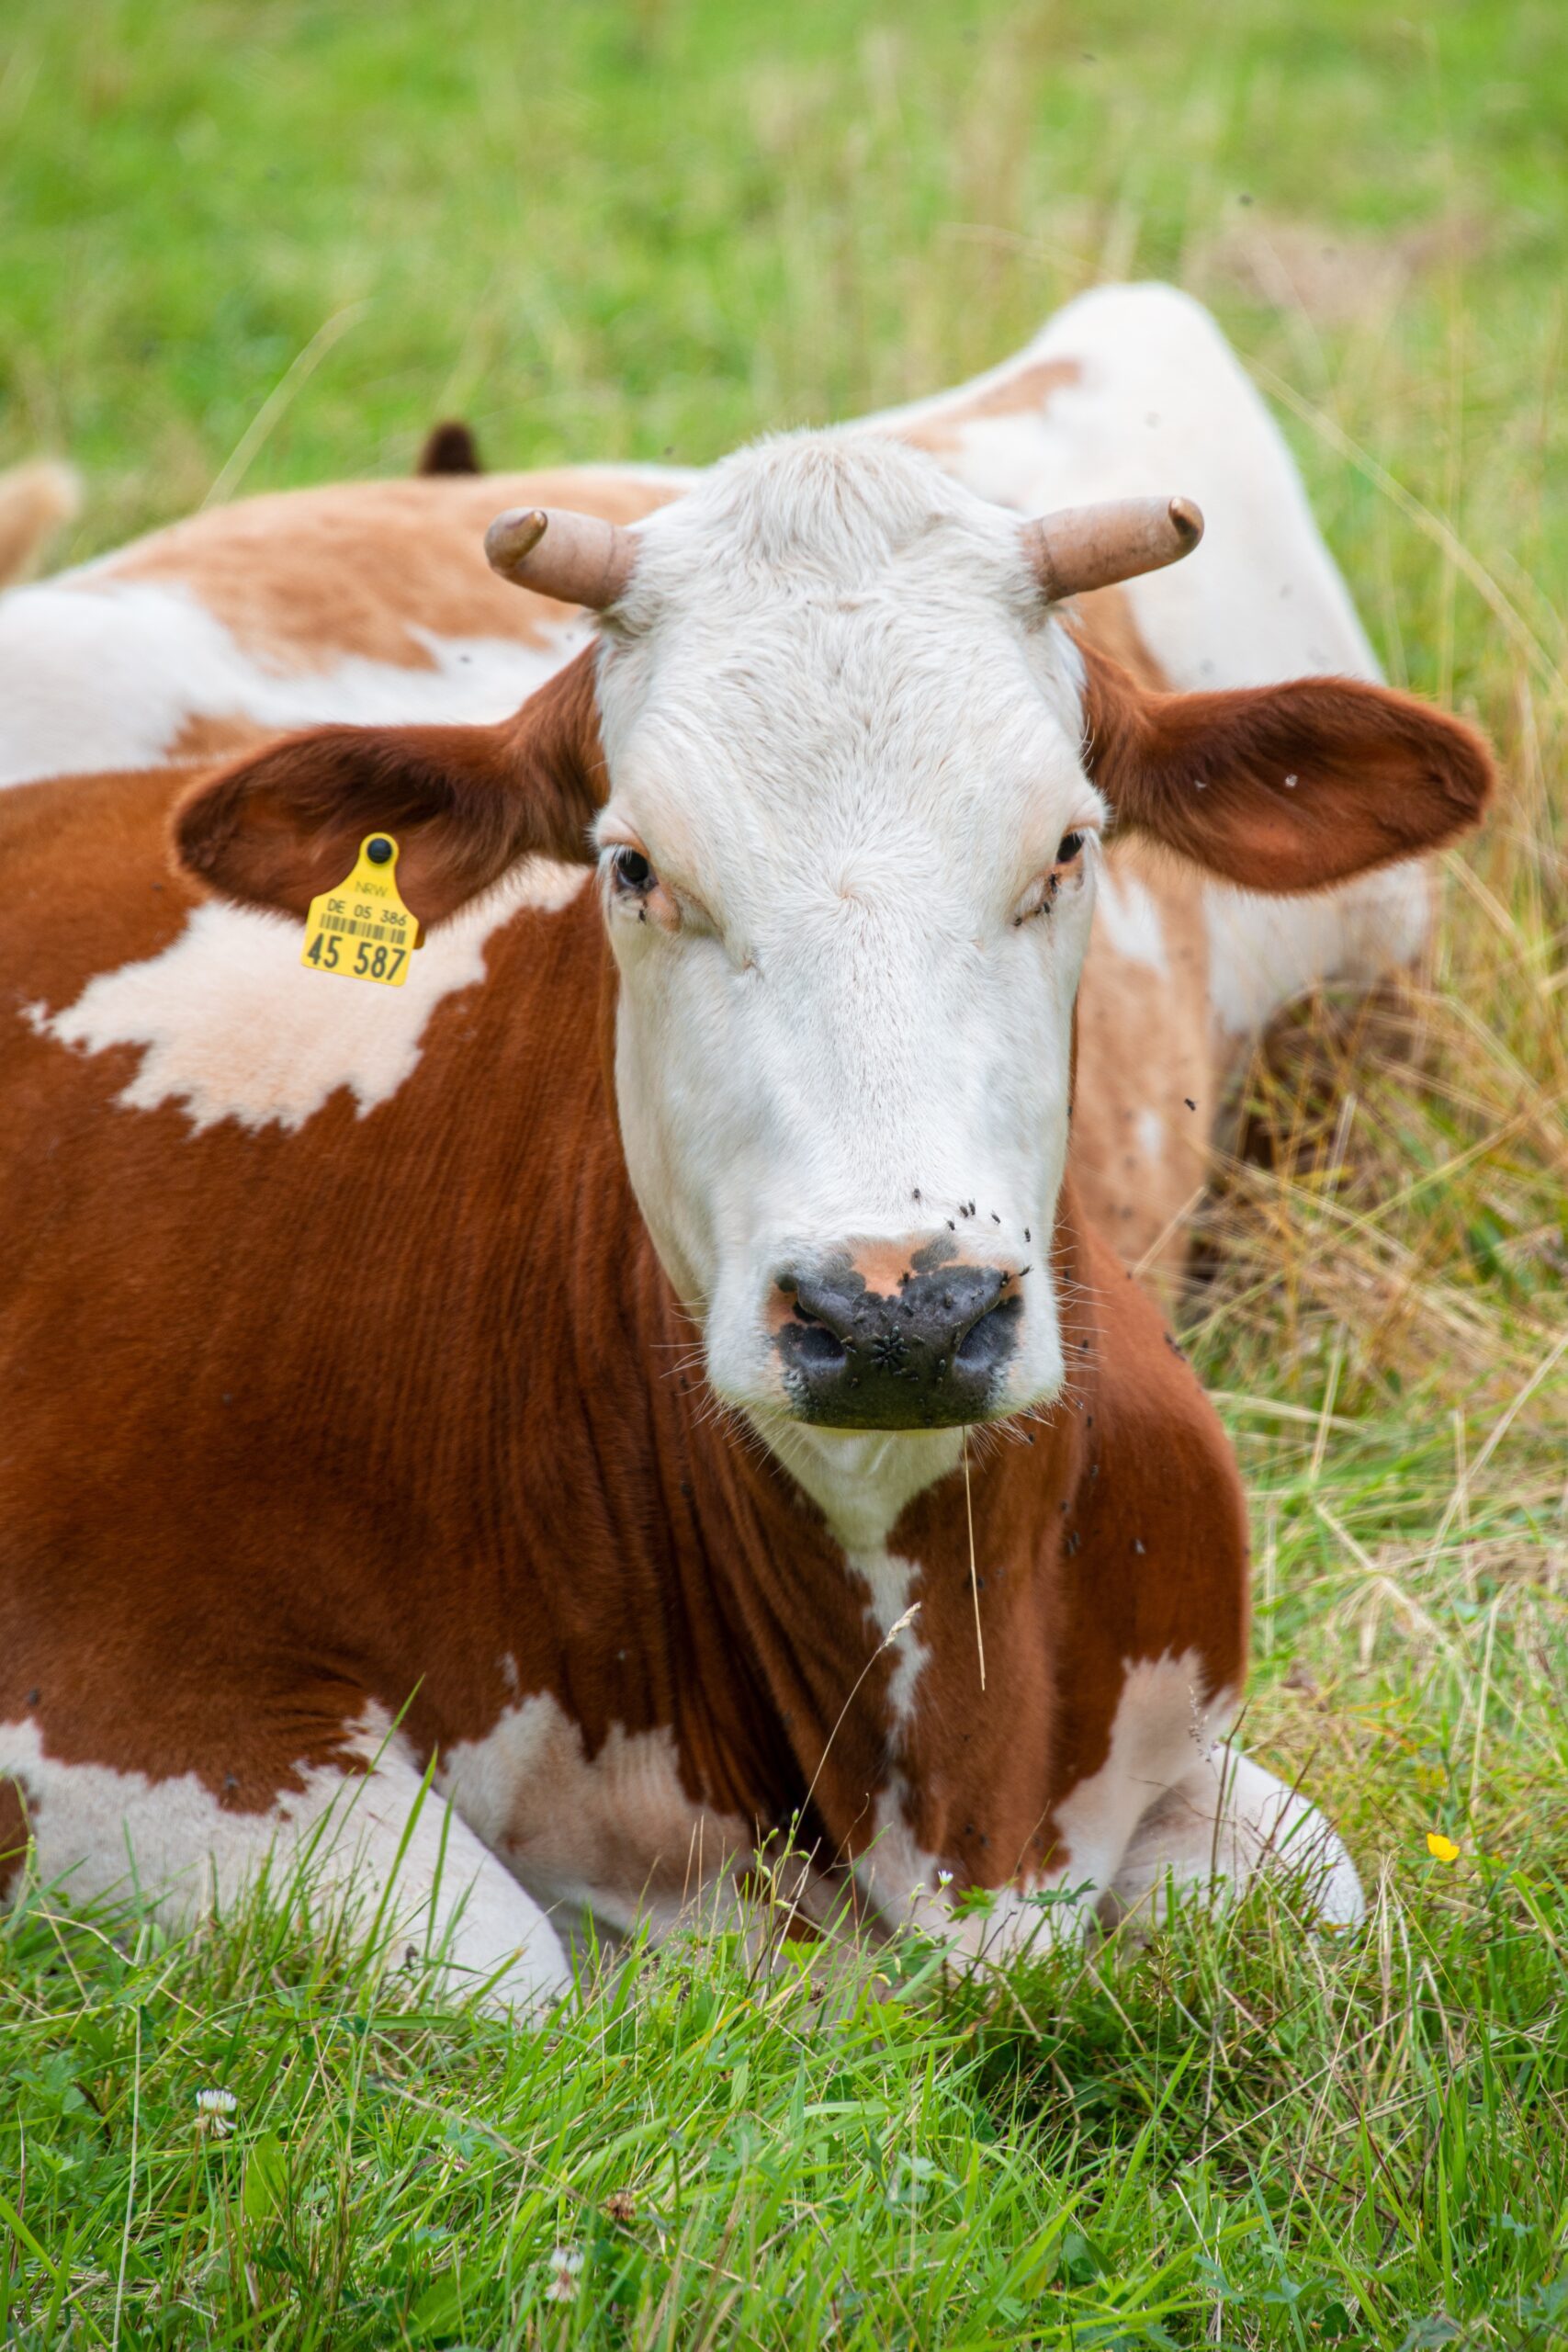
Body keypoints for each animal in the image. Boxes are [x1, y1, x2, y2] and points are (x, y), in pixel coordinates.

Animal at [0, 427, 1495, 2004]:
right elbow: (503, 1970)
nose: (899, 1315)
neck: (951, 1771)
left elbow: (1318, 1898)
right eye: (634, 865)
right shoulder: (124, 1710)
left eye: (1067, 848)